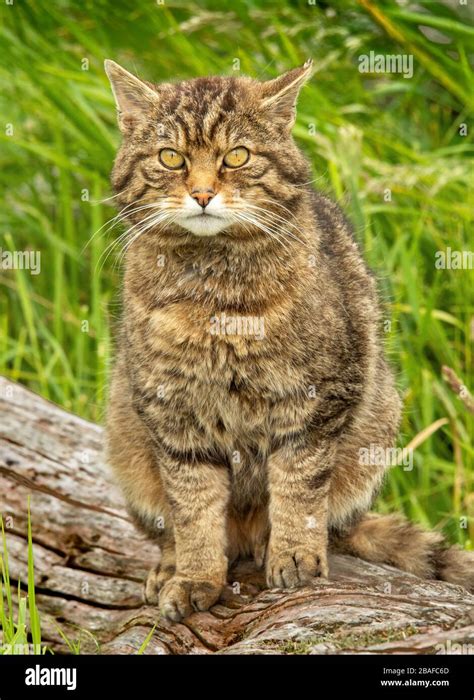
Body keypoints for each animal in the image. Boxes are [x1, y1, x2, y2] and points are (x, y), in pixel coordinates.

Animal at [104, 58, 474, 616]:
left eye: (237, 156)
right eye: (171, 157)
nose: (203, 194)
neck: (215, 292)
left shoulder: (319, 400)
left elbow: (299, 486)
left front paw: (294, 554)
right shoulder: (171, 413)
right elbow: (192, 507)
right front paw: (194, 576)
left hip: (378, 420)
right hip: (124, 430)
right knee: (171, 524)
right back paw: (169, 564)